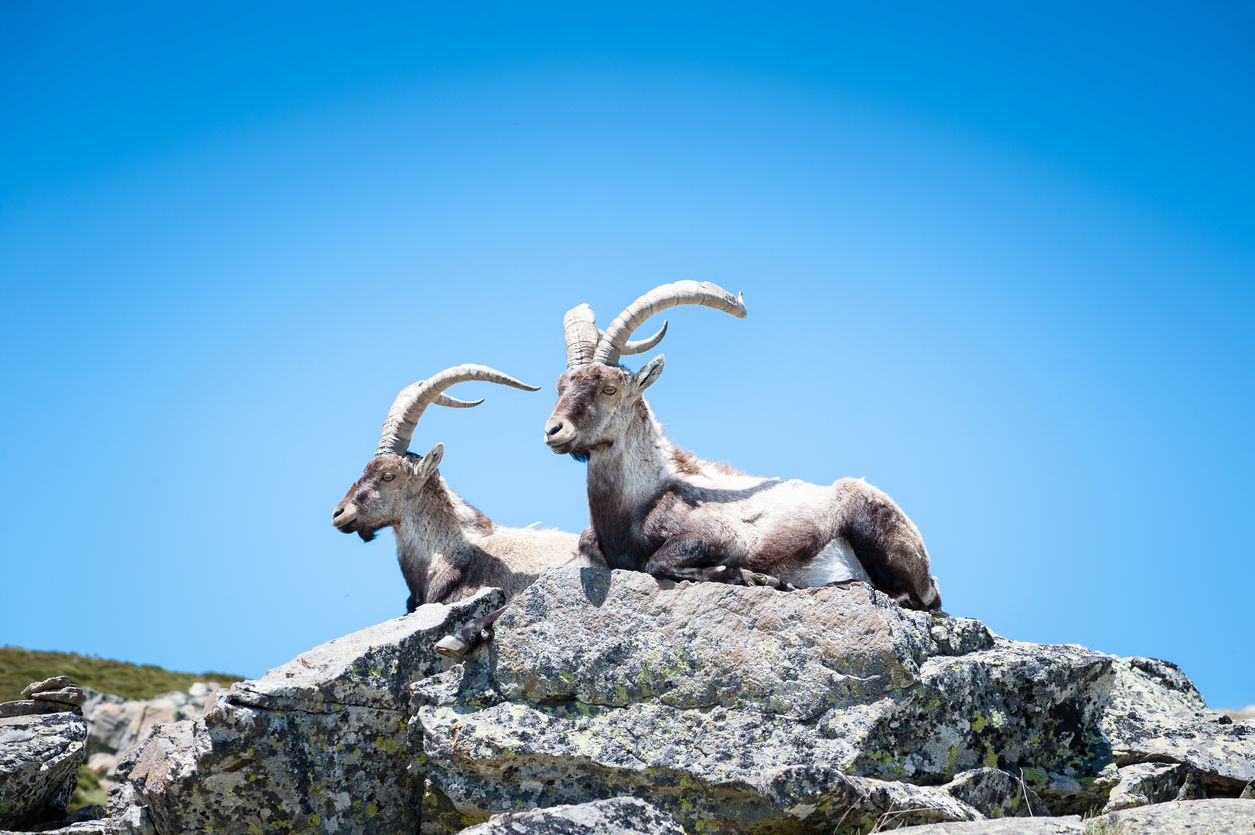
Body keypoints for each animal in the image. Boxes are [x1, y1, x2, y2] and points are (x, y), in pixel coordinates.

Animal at [542, 282, 942, 612]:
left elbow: (658, 562)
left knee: (906, 597)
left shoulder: (724, 535)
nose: (553, 431)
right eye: (561, 387)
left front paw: (753, 576)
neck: (640, 499)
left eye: (609, 388)